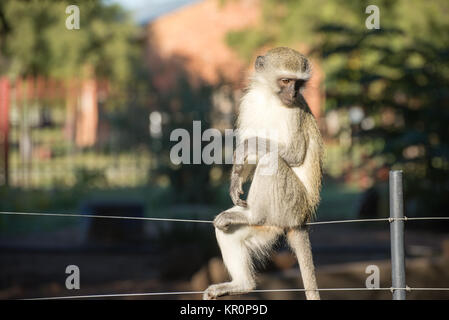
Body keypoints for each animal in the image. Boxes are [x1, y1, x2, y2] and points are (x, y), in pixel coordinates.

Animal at [203, 47, 322, 300]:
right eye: (286, 81)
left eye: (299, 83)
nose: (293, 93)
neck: (270, 99)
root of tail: (302, 219)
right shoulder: (249, 102)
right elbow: (251, 159)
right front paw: (236, 176)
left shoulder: (295, 112)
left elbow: (293, 153)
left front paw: (245, 147)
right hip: (273, 223)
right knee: (229, 231)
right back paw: (242, 284)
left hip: (291, 204)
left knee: (271, 160)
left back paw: (251, 215)